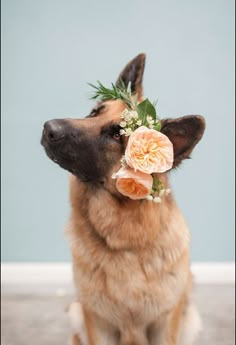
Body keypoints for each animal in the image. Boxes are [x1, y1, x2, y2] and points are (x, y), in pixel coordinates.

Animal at [41, 54, 206, 344]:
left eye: (117, 134)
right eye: (94, 111)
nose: (48, 128)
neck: (124, 240)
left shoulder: (164, 325)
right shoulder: (98, 323)